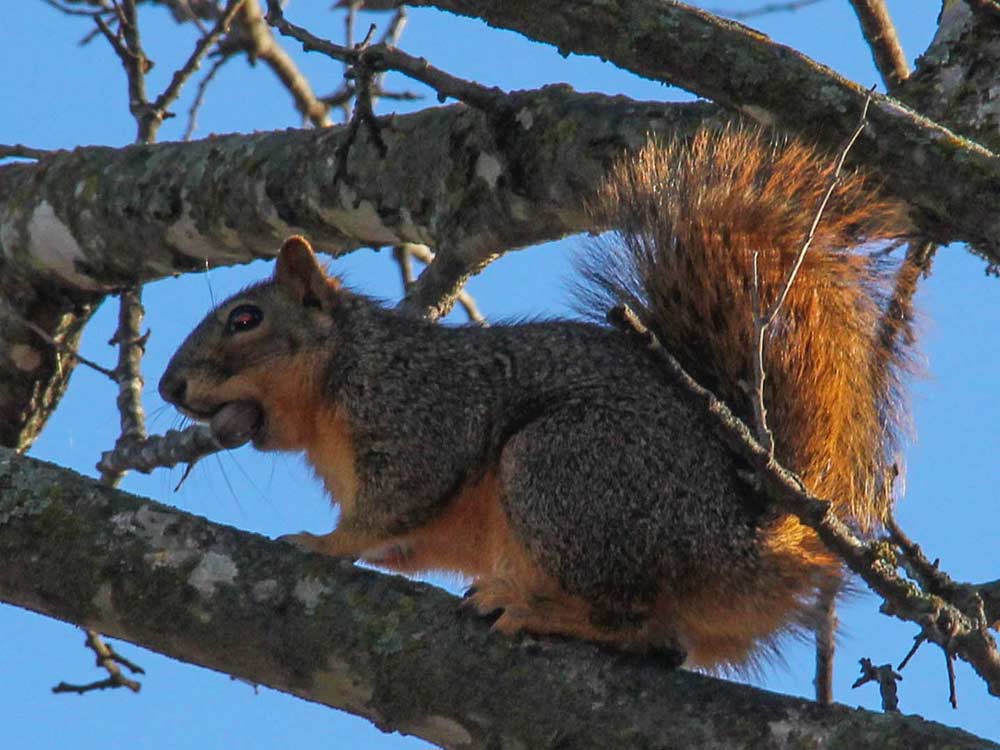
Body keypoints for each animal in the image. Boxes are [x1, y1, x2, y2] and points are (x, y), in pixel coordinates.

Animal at [156, 126, 916, 672]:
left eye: (246, 319)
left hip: (565, 471)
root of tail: (743, 550)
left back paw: (540, 612)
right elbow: (406, 540)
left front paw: (325, 541)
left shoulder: (420, 411)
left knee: (638, 621)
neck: (333, 388)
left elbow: (399, 498)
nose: (168, 387)